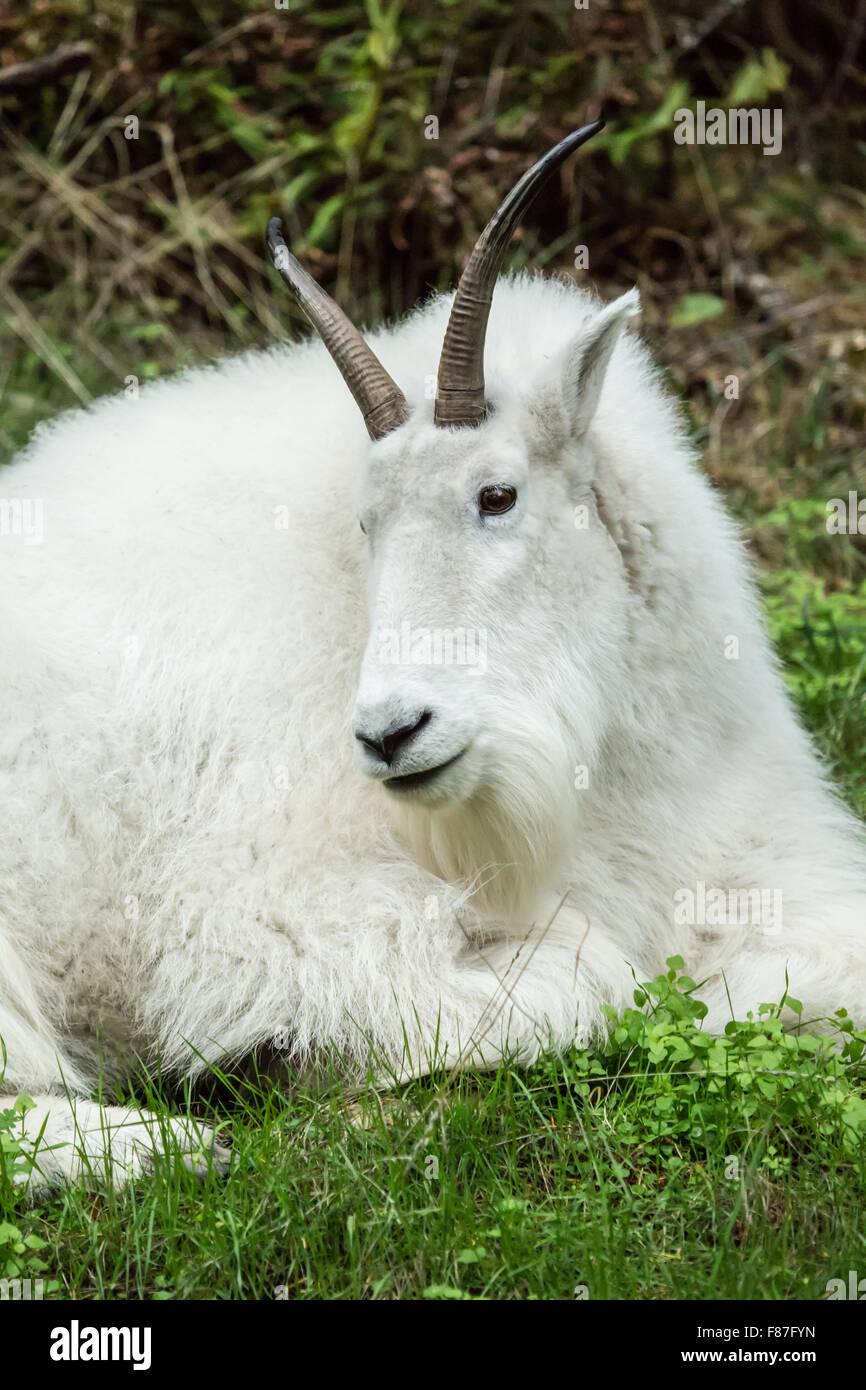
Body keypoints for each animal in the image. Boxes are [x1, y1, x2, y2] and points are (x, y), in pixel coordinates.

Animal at [1, 125, 866, 1184]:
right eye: (366, 522)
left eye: (497, 495)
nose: (390, 733)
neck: (605, 778)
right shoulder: (274, 918)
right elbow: (593, 984)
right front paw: (282, 1071)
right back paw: (167, 1143)